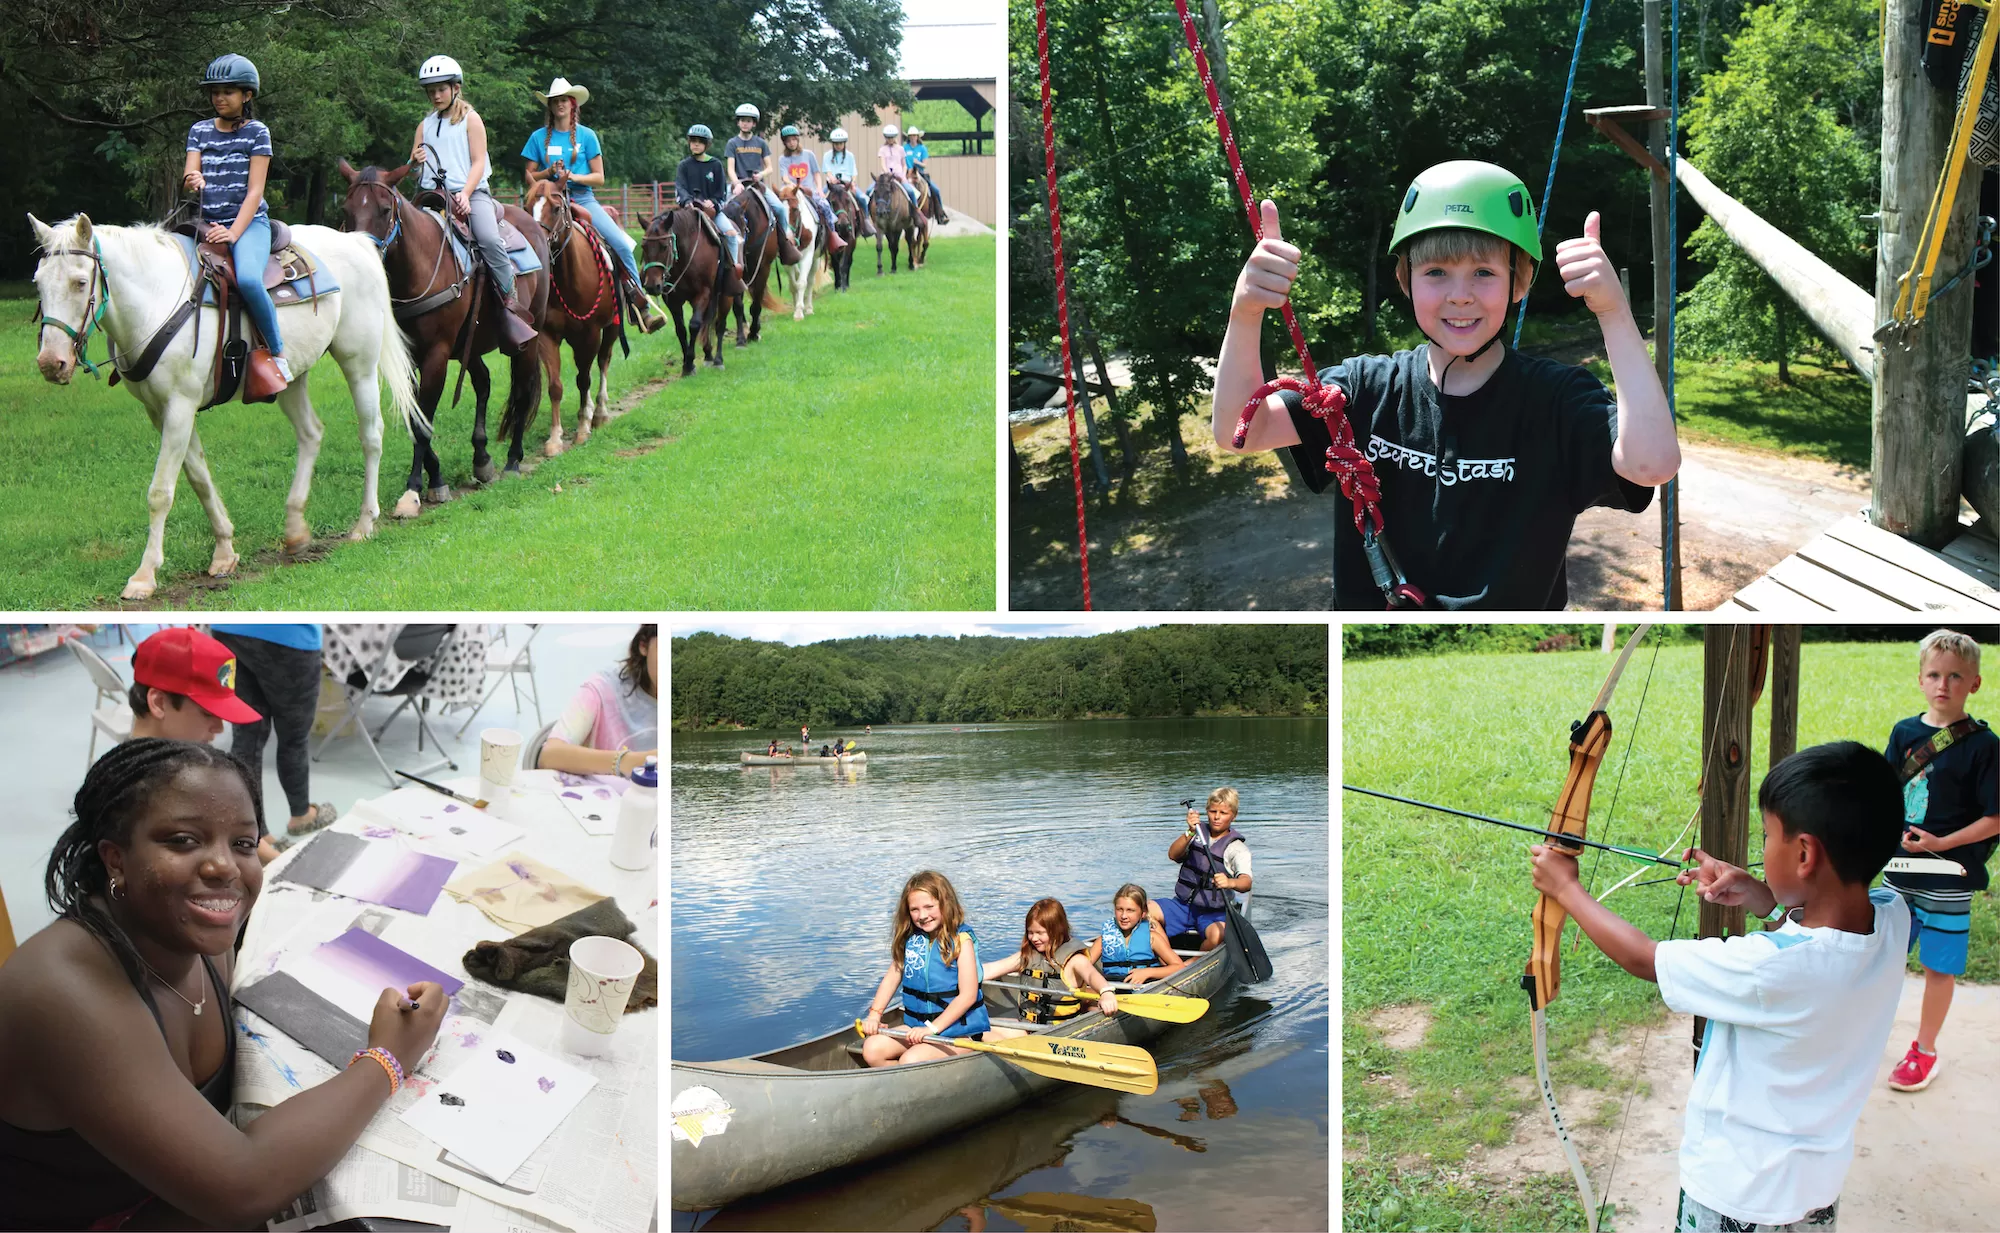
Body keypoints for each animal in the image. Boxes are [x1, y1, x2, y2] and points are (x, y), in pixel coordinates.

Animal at [27, 211, 418, 600]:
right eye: (38, 284)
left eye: (80, 283)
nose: (50, 363)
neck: (156, 299)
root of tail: (355, 241)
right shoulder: (160, 412)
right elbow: (199, 478)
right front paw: (225, 553)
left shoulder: (180, 406)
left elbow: (161, 491)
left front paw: (144, 575)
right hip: (293, 377)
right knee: (311, 433)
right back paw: (295, 530)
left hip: (359, 363)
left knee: (371, 435)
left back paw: (364, 522)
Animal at [336, 159, 552, 516]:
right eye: (347, 209)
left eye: (384, 209)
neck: (420, 267)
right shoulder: (411, 358)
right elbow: (415, 416)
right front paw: (435, 478)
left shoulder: (436, 355)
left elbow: (423, 422)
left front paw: (413, 491)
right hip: (471, 344)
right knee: (484, 383)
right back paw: (482, 458)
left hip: (529, 339)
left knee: (522, 391)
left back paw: (512, 461)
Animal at [528, 178, 620, 452]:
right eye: (526, 207)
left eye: (557, 208)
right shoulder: (547, 335)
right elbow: (556, 386)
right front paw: (555, 438)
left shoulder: (591, 334)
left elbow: (584, 380)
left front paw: (582, 429)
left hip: (611, 328)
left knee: (603, 362)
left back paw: (598, 412)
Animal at [636, 207, 740, 372]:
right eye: (643, 246)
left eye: (664, 246)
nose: (652, 286)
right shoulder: (673, 300)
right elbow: (681, 329)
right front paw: (687, 364)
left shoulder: (703, 293)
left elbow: (694, 325)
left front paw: (690, 363)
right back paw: (708, 354)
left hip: (725, 296)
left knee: (719, 324)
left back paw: (718, 360)